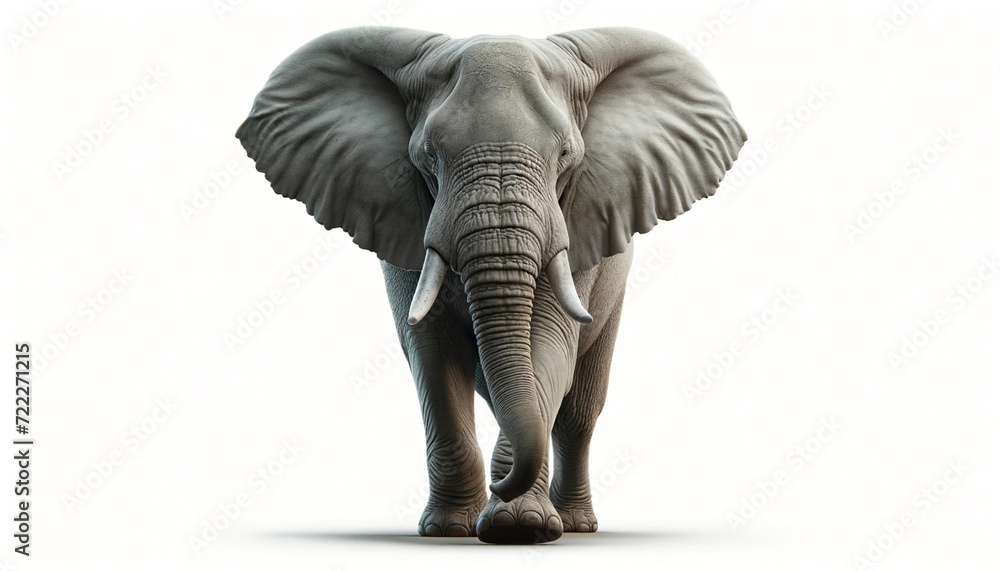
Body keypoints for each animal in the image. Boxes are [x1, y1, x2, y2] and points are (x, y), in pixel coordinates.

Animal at [236, 26, 744, 544]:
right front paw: (447, 529)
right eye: (427, 156)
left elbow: (548, 341)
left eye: (566, 156)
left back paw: (578, 525)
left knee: (579, 411)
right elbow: (430, 349)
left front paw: (519, 527)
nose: (500, 485)